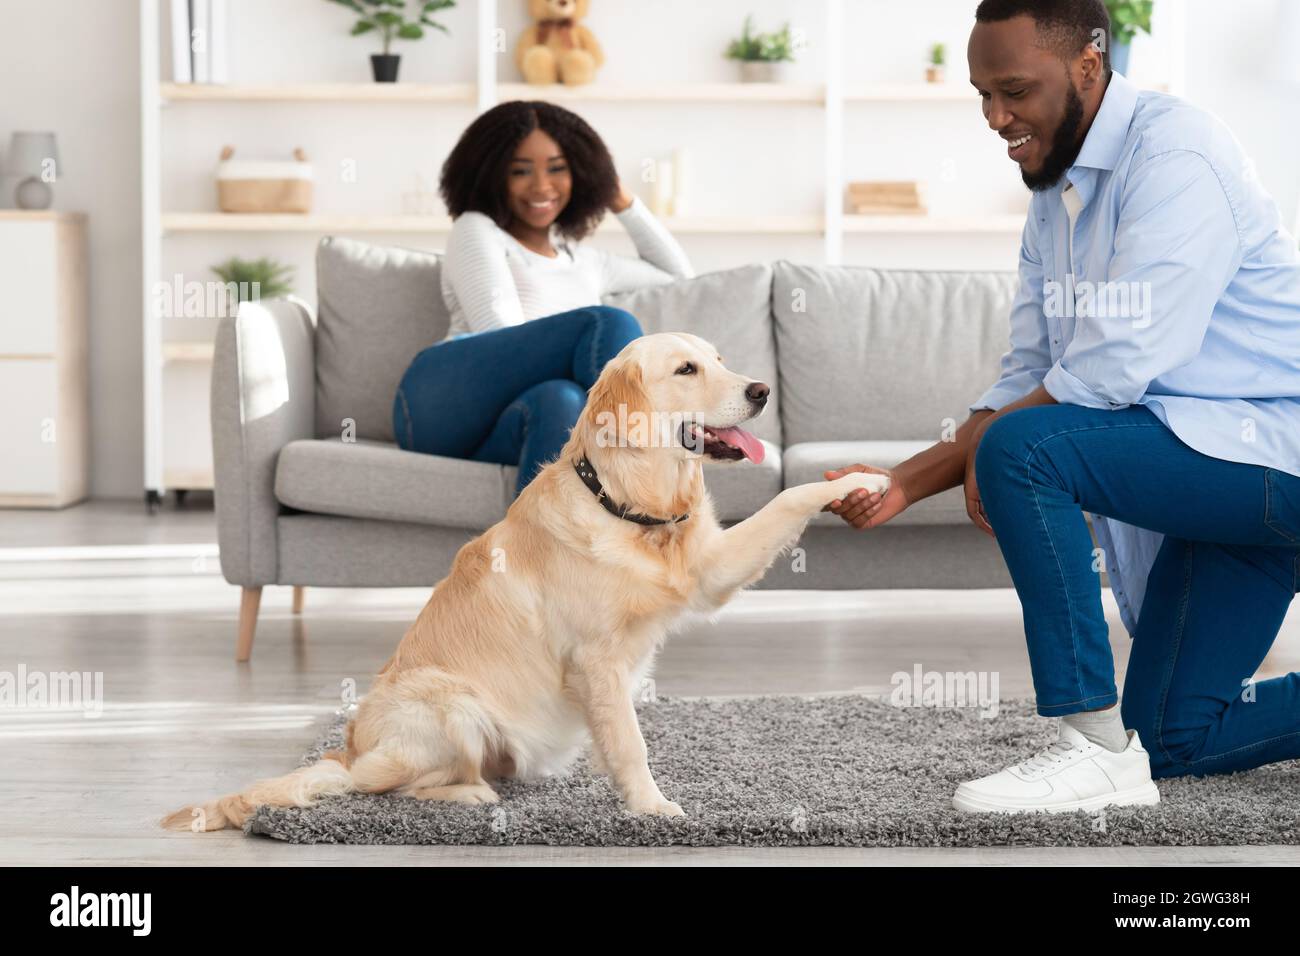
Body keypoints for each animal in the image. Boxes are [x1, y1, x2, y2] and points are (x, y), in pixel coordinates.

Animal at [165, 330, 883, 832]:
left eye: (719, 358)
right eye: (686, 370)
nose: (760, 390)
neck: (625, 503)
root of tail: (349, 746)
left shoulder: (708, 571)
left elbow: (786, 499)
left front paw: (858, 479)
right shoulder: (596, 661)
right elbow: (632, 743)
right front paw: (651, 807)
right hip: (450, 704)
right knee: (386, 785)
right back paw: (470, 792)